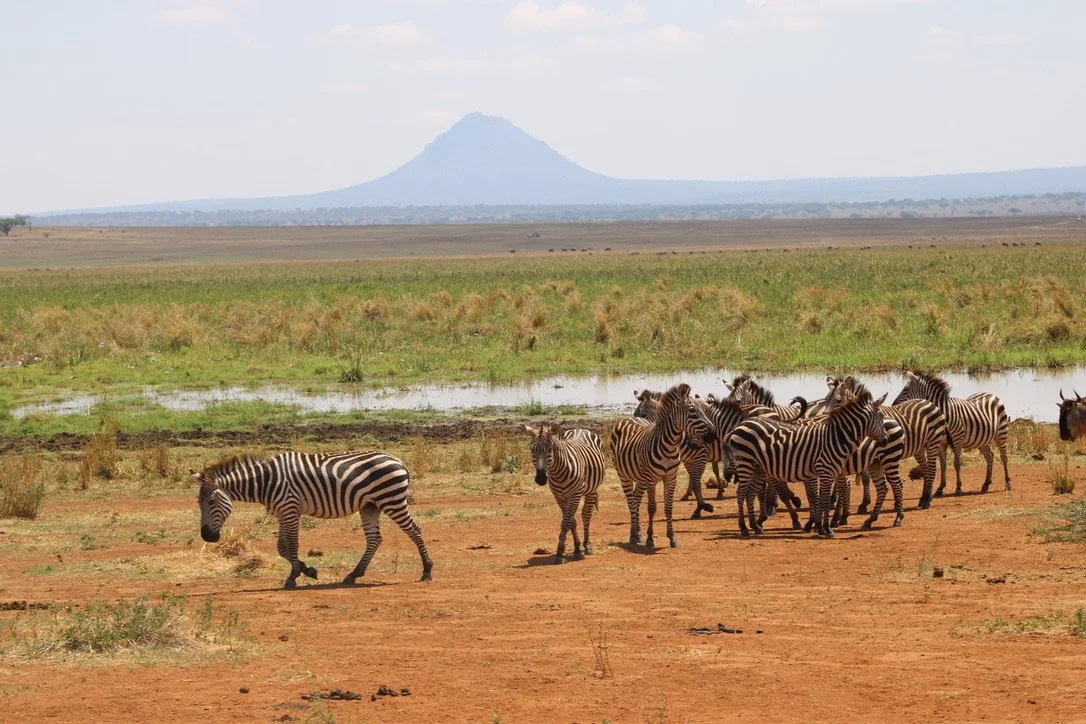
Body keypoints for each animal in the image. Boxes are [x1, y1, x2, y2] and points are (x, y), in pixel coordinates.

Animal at [194, 451, 433, 589]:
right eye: (199, 503)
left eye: (212, 502)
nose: (207, 537)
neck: (266, 482)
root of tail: (399, 461)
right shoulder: (282, 512)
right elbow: (282, 548)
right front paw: (307, 570)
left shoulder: (290, 509)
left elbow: (292, 545)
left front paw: (293, 577)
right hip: (370, 506)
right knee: (374, 539)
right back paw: (353, 575)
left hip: (391, 500)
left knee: (415, 530)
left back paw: (427, 571)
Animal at [524, 424, 605, 564]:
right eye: (532, 450)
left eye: (549, 449)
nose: (540, 479)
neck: (558, 472)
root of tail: (580, 429)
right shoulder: (559, 497)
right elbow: (571, 521)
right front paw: (576, 548)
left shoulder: (575, 495)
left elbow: (566, 522)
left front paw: (560, 552)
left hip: (592, 489)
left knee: (586, 515)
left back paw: (587, 546)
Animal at [611, 382, 712, 550]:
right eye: (692, 410)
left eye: (702, 410)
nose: (713, 434)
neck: (669, 446)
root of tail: (626, 420)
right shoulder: (651, 479)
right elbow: (652, 507)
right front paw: (650, 539)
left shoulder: (671, 478)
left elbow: (668, 507)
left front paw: (672, 538)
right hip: (623, 475)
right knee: (631, 501)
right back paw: (633, 535)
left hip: (640, 478)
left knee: (636, 498)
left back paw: (637, 533)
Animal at [729, 385, 887, 537]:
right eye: (881, 416)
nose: (885, 439)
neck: (836, 437)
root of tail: (741, 424)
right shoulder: (825, 471)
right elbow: (822, 498)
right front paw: (825, 528)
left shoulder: (829, 472)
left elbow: (821, 498)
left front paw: (820, 527)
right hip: (745, 463)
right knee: (741, 493)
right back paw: (744, 527)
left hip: (757, 467)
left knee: (750, 493)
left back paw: (755, 527)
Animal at [829, 376, 949, 510]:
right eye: (826, 401)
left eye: (838, 400)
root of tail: (929, 402)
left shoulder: (868, 451)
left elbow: (866, 478)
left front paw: (864, 503)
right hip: (920, 448)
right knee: (926, 469)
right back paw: (923, 498)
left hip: (932, 443)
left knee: (932, 469)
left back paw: (927, 500)